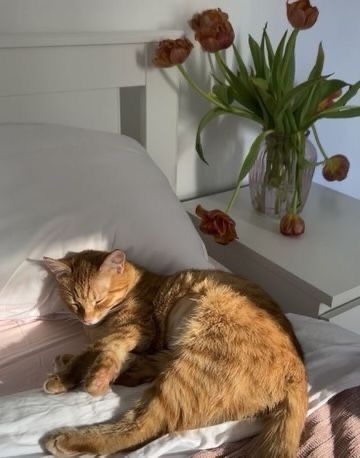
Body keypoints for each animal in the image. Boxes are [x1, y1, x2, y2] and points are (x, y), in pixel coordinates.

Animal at [41, 250, 306, 458]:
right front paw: (77, 369)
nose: (87, 319)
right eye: (75, 303)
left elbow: (99, 349)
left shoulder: (135, 330)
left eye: (99, 300)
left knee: (142, 427)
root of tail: (298, 373)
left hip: (190, 365)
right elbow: (99, 350)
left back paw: (69, 437)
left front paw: (77, 377)